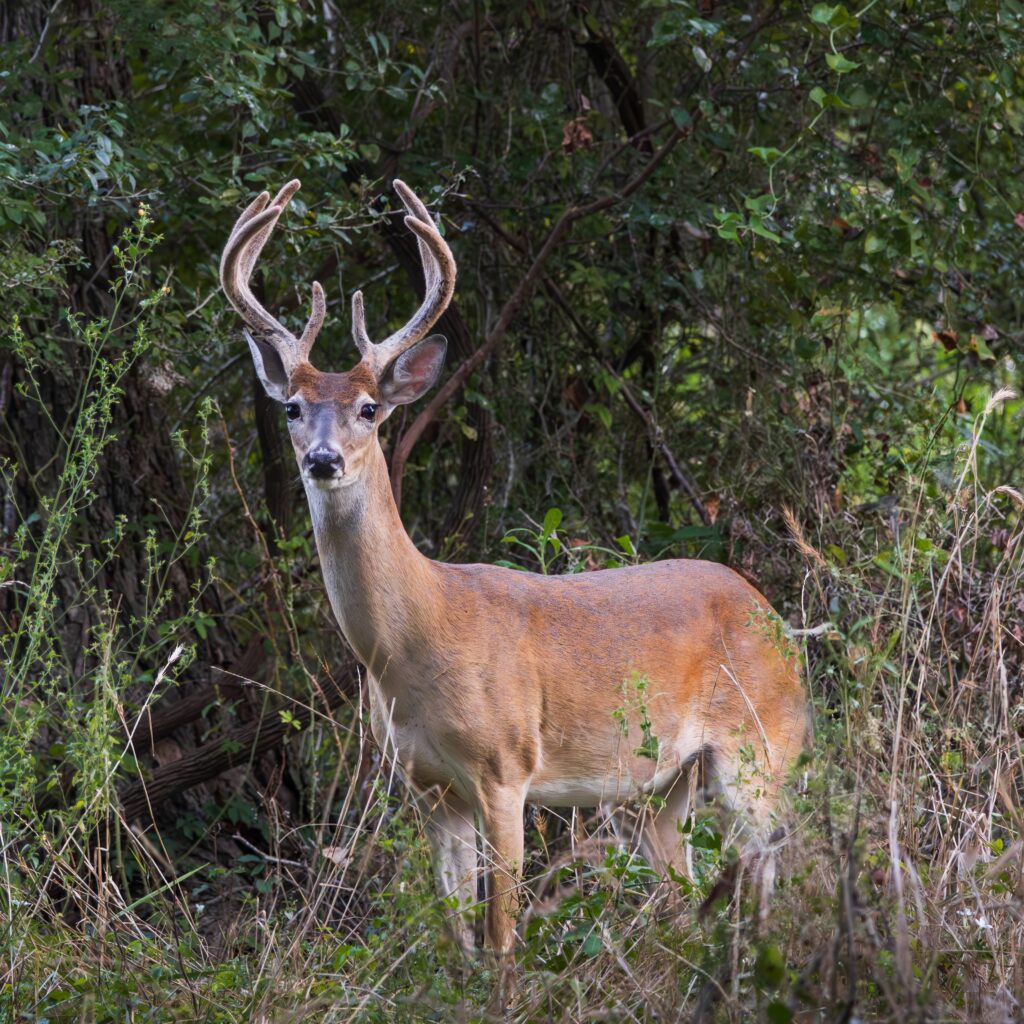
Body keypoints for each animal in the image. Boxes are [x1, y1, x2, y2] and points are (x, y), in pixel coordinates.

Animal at [222, 182, 806, 966]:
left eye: (369, 409)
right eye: (291, 407)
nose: (322, 459)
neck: (418, 636)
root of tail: (774, 617)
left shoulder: (506, 767)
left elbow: (501, 935)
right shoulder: (427, 787)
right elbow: (455, 932)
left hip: (760, 749)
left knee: (768, 863)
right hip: (661, 787)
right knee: (686, 893)